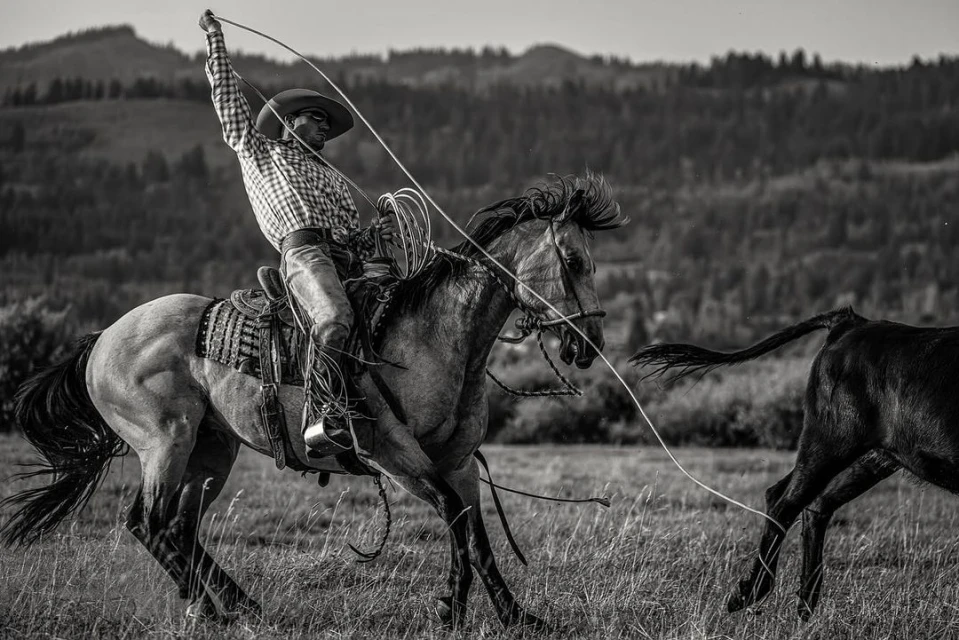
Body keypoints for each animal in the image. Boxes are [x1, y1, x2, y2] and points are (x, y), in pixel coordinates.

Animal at [0, 173, 626, 629]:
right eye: (574, 261)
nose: (590, 343)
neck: (433, 335)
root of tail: (102, 339)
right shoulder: (394, 456)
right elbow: (453, 517)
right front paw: (451, 608)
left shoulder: (459, 461)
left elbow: (477, 535)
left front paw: (520, 617)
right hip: (165, 440)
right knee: (148, 521)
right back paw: (216, 613)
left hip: (212, 449)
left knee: (178, 526)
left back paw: (236, 603)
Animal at [630, 306, 959, 619]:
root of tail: (852, 322)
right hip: (830, 441)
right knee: (785, 501)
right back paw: (749, 592)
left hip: (871, 457)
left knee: (812, 503)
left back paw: (804, 601)